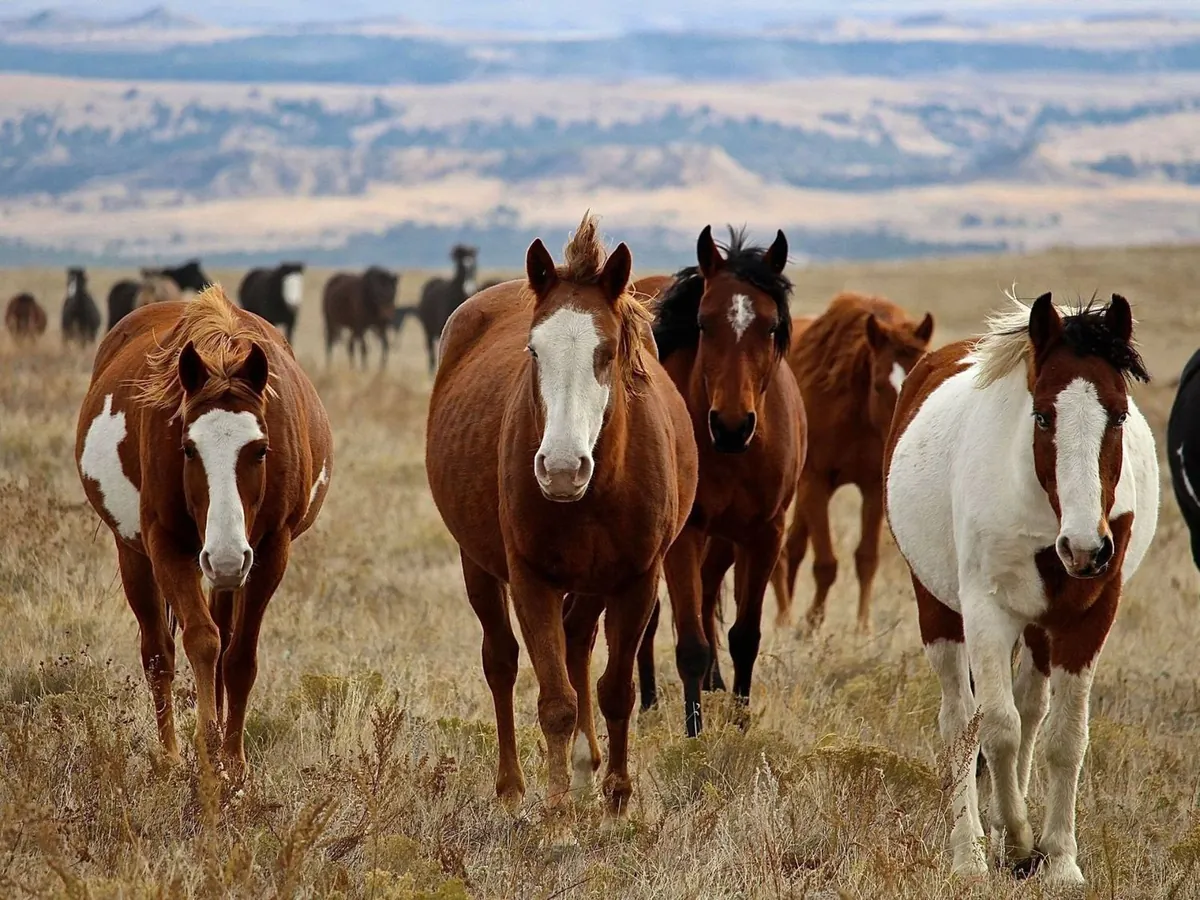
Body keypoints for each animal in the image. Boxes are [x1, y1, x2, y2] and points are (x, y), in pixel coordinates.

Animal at [75, 285, 332, 774]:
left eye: (261, 449)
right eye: (188, 449)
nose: (227, 554)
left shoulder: (270, 550)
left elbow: (239, 657)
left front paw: (233, 763)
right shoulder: (167, 545)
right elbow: (201, 641)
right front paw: (208, 755)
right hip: (136, 553)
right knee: (158, 652)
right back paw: (170, 757)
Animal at [425, 214, 697, 826]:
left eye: (607, 351)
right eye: (532, 350)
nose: (562, 468)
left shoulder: (637, 579)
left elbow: (615, 689)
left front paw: (616, 796)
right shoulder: (532, 579)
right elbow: (555, 700)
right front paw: (556, 814)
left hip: (594, 581)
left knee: (578, 640)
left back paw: (586, 763)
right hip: (478, 564)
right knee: (501, 661)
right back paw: (512, 787)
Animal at [636, 226, 806, 732]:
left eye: (770, 326)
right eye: (704, 323)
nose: (731, 425)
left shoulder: (765, 533)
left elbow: (744, 635)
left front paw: (740, 720)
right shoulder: (684, 534)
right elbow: (690, 642)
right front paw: (694, 733)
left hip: (727, 541)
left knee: (709, 593)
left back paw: (714, 685)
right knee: (654, 618)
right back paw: (647, 703)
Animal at [779, 292, 934, 632]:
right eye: (878, 385)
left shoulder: (873, 487)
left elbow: (867, 559)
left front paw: (863, 627)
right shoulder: (816, 481)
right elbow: (826, 563)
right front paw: (812, 626)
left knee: (792, 547)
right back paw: (784, 620)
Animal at [884, 293, 1157, 884]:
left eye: (1119, 414)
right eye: (1043, 414)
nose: (1086, 549)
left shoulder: (1088, 617)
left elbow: (1064, 737)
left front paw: (1058, 860)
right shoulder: (987, 613)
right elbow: (997, 729)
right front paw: (1014, 840)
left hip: (1038, 628)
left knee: (1031, 711)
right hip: (939, 610)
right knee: (960, 721)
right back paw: (969, 853)